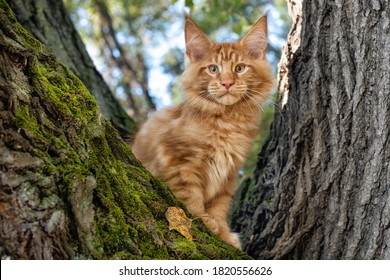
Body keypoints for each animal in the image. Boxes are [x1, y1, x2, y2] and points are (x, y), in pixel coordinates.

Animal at [133, 13, 272, 249]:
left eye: (240, 68)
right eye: (213, 69)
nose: (227, 83)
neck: (227, 121)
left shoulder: (230, 173)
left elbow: (220, 204)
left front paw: (223, 232)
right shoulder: (177, 160)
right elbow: (190, 195)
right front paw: (203, 220)